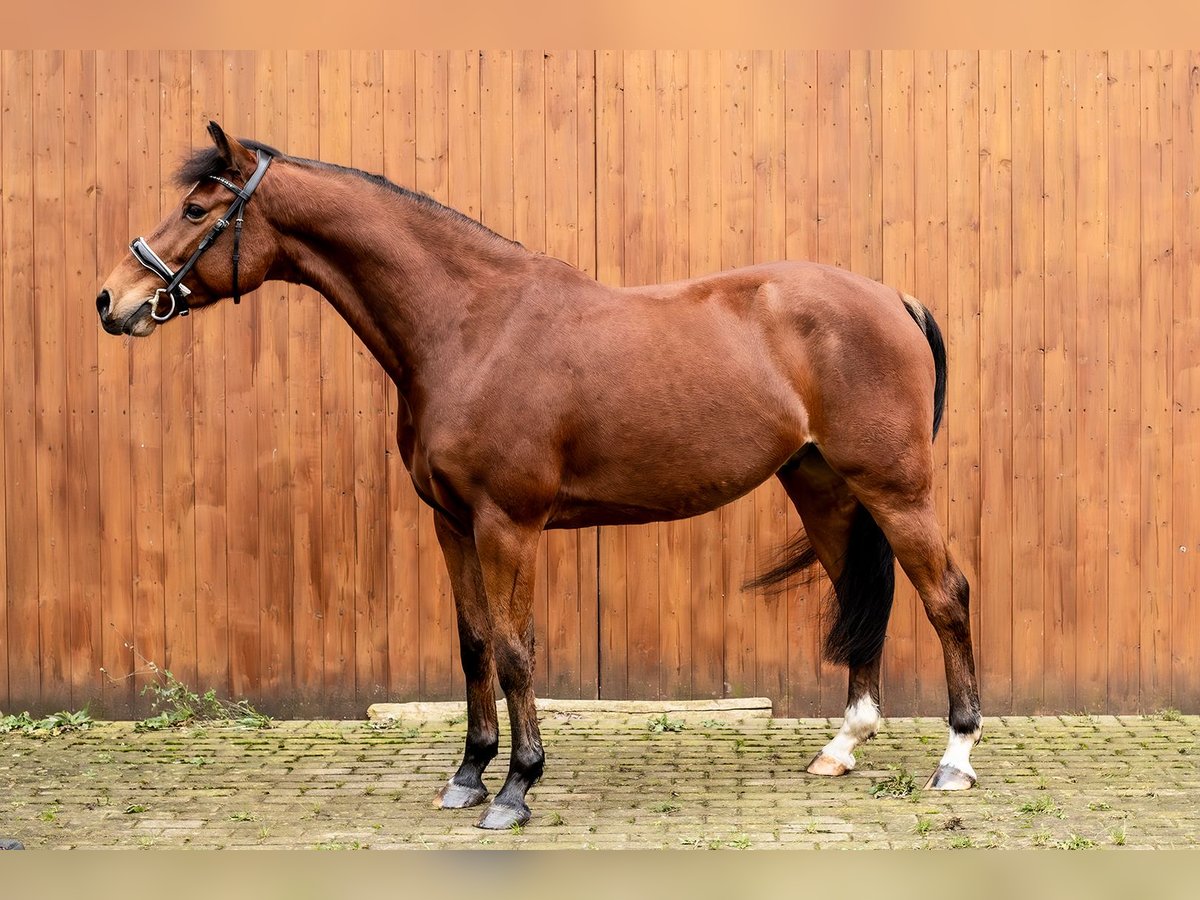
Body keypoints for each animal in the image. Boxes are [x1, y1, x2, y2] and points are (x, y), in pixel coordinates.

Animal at [98, 125, 979, 830]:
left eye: (198, 211)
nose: (115, 299)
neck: (471, 327)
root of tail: (894, 297)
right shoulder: (451, 523)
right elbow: (473, 647)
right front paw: (467, 777)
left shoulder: (508, 524)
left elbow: (517, 651)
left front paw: (517, 789)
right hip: (823, 487)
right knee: (864, 598)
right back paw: (842, 747)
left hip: (897, 489)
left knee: (945, 598)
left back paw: (956, 760)